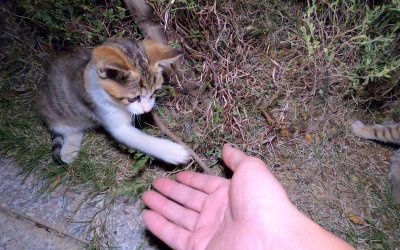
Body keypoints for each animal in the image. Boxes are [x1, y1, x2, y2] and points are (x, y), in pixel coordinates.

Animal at [39, 38, 191, 165]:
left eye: (154, 92)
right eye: (134, 98)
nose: (147, 110)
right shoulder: (105, 112)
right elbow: (139, 138)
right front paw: (173, 152)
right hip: (59, 114)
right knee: (69, 129)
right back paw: (68, 150)